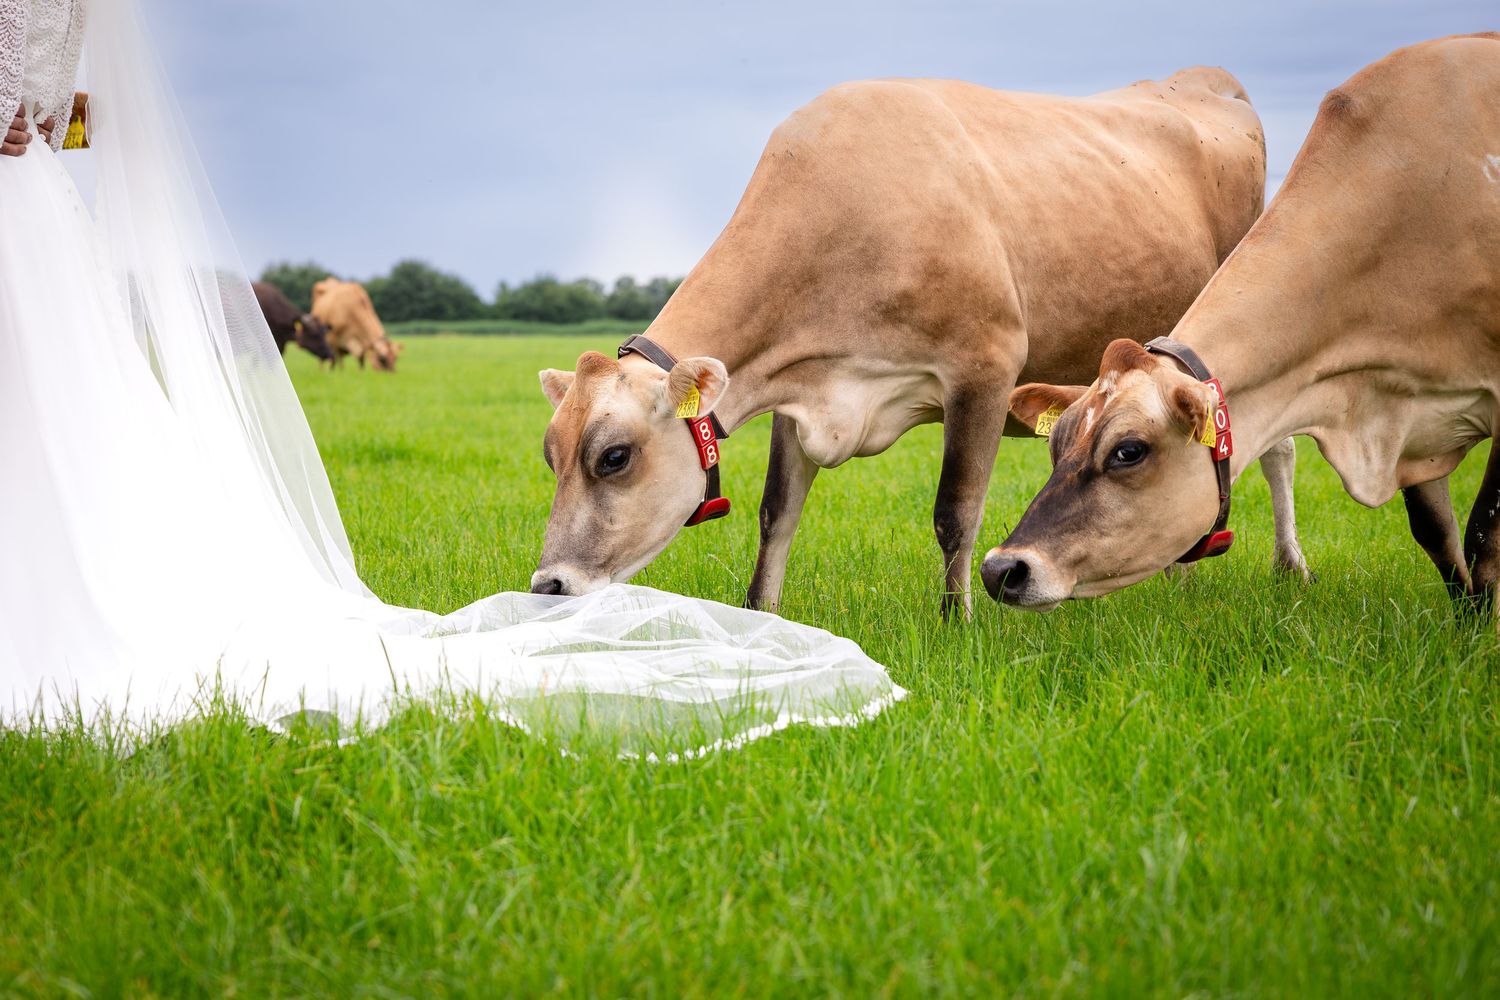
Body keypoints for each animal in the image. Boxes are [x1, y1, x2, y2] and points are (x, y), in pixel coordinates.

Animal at [533, 69, 1313, 616]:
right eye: (550, 455)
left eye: (613, 456)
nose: (547, 584)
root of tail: (1203, 78)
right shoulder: (799, 396)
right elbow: (775, 513)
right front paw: (761, 614)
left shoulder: (984, 369)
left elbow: (954, 513)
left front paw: (956, 620)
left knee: (1276, 448)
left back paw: (1289, 566)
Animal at [980, 35, 1500, 617]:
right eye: (1054, 444)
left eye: (1128, 451)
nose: (1001, 568)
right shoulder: (1408, 417)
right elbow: (1435, 531)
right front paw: (1469, 618)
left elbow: (1482, 534)